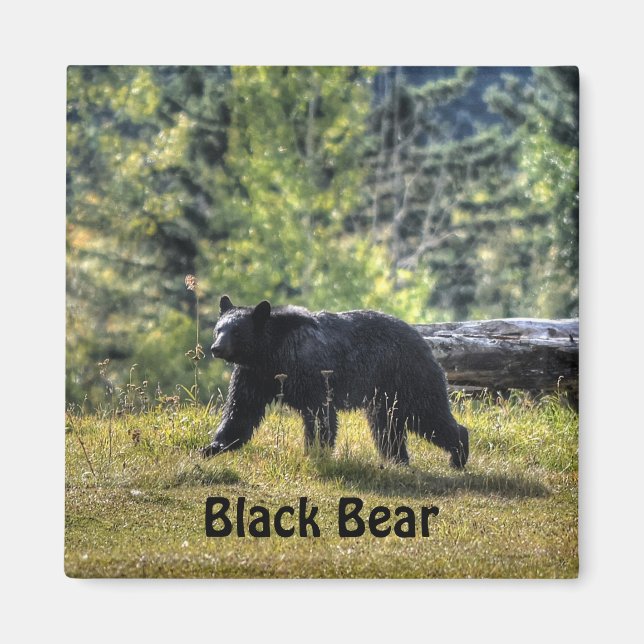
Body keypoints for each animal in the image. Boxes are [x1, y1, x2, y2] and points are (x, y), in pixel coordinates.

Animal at [200, 295, 469, 468]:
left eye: (236, 331)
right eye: (218, 329)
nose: (216, 348)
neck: (270, 353)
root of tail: (423, 339)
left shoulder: (310, 371)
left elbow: (320, 414)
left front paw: (315, 452)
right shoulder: (253, 376)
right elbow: (240, 411)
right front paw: (213, 447)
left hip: (409, 378)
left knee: (428, 415)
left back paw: (458, 454)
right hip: (384, 394)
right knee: (387, 427)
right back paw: (397, 460)